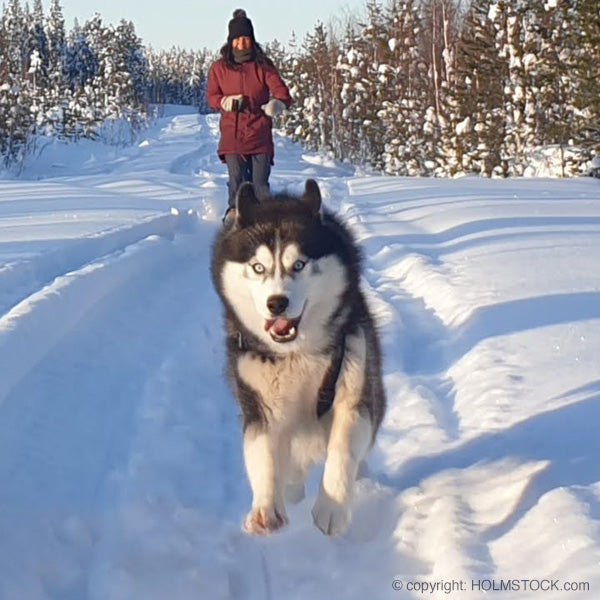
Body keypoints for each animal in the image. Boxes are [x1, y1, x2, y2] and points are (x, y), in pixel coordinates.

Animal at [210, 180, 384, 536]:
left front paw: (332, 505)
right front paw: (266, 506)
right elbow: (262, 453)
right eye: (258, 267)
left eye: (299, 264)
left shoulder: (353, 386)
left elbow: (343, 448)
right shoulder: (257, 403)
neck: (296, 355)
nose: (277, 303)